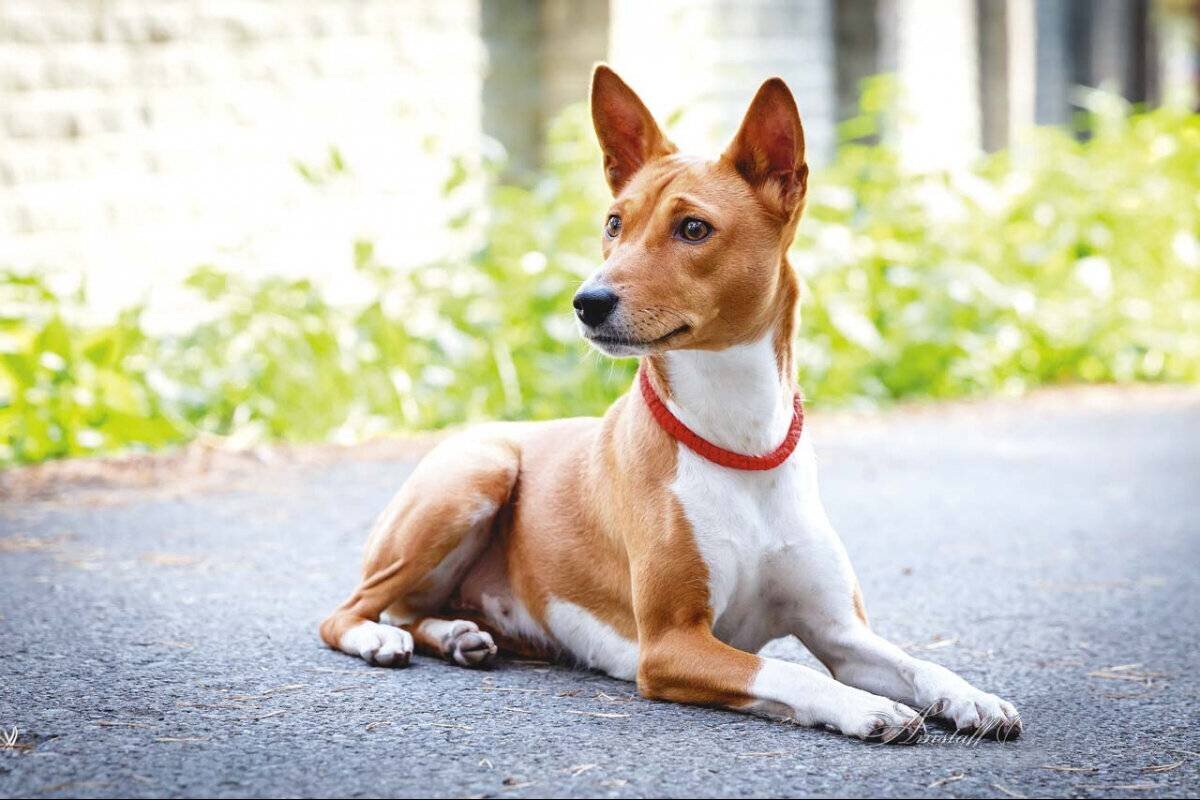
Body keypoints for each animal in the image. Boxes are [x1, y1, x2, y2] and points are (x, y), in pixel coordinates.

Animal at [321, 64, 1022, 743]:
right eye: (614, 223)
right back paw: (380, 638)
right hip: (475, 476)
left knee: (416, 611)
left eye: (693, 228)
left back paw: (458, 635)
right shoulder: (670, 644)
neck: (741, 445)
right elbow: (790, 673)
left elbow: (918, 663)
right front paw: (866, 708)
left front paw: (973, 697)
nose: (586, 301)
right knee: (350, 612)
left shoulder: (842, 635)